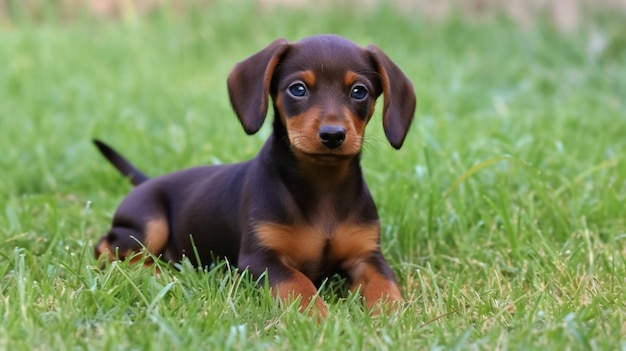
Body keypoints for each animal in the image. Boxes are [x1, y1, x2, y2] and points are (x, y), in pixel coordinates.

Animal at [94, 35, 414, 316]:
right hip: (149, 223)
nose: (333, 135)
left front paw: (392, 314)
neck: (322, 185)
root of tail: (147, 181)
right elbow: (297, 282)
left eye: (359, 91)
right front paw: (314, 315)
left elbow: (384, 282)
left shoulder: (367, 256)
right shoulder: (259, 259)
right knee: (106, 246)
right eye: (298, 89)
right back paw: (155, 272)